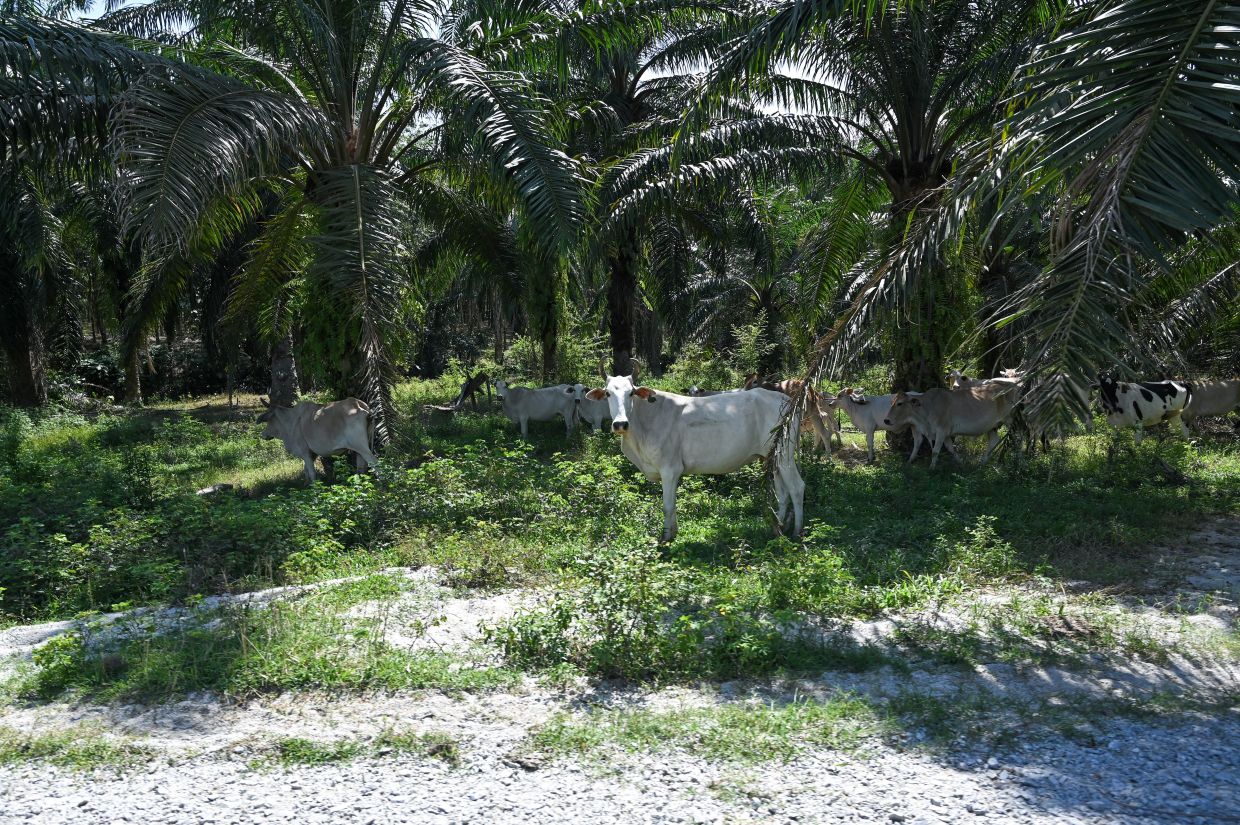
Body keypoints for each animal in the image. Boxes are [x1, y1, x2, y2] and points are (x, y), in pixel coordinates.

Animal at [585, 368, 804, 543]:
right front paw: (672, 533)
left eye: (631, 393)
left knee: (796, 487)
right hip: (771, 456)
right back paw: (779, 528)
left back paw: (796, 532)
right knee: (782, 492)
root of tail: (787, 400)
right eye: (607, 393)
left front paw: (665, 537)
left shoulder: (670, 469)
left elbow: (667, 505)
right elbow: (672, 505)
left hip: (785, 454)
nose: (620, 424)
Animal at [883, 382, 1019, 468]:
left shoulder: (941, 430)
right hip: (992, 425)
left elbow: (935, 451)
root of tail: (1011, 386)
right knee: (994, 441)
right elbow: (950, 449)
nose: (886, 420)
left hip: (1010, 419)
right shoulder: (946, 433)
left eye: (900, 403)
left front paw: (931, 468)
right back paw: (982, 463)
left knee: (1017, 436)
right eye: (892, 402)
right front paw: (961, 462)